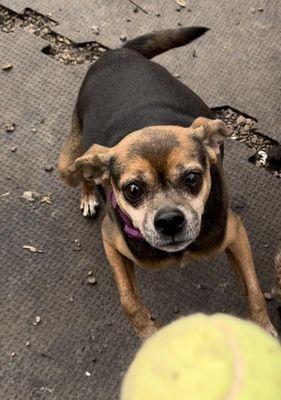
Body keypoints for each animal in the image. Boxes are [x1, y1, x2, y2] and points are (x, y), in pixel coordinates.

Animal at [57, 25, 276, 338]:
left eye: (192, 178)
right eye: (132, 190)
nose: (170, 221)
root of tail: (118, 52)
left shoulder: (235, 234)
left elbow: (255, 291)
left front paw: (263, 328)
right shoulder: (111, 241)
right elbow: (129, 302)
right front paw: (149, 334)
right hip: (70, 163)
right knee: (84, 173)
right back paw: (89, 195)